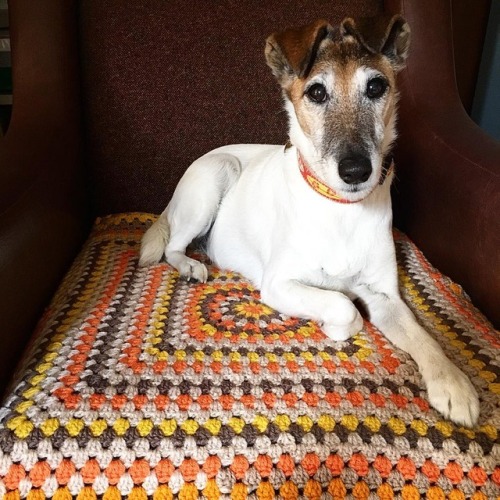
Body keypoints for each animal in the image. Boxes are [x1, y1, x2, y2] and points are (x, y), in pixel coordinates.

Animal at [141, 15, 480, 426]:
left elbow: (422, 336)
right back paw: (190, 265)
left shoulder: (384, 296)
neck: (342, 210)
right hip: (216, 175)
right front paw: (335, 326)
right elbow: (345, 306)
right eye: (317, 93)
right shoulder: (279, 284)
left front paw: (452, 382)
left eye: (376, 86)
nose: (356, 171)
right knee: (173, 245)